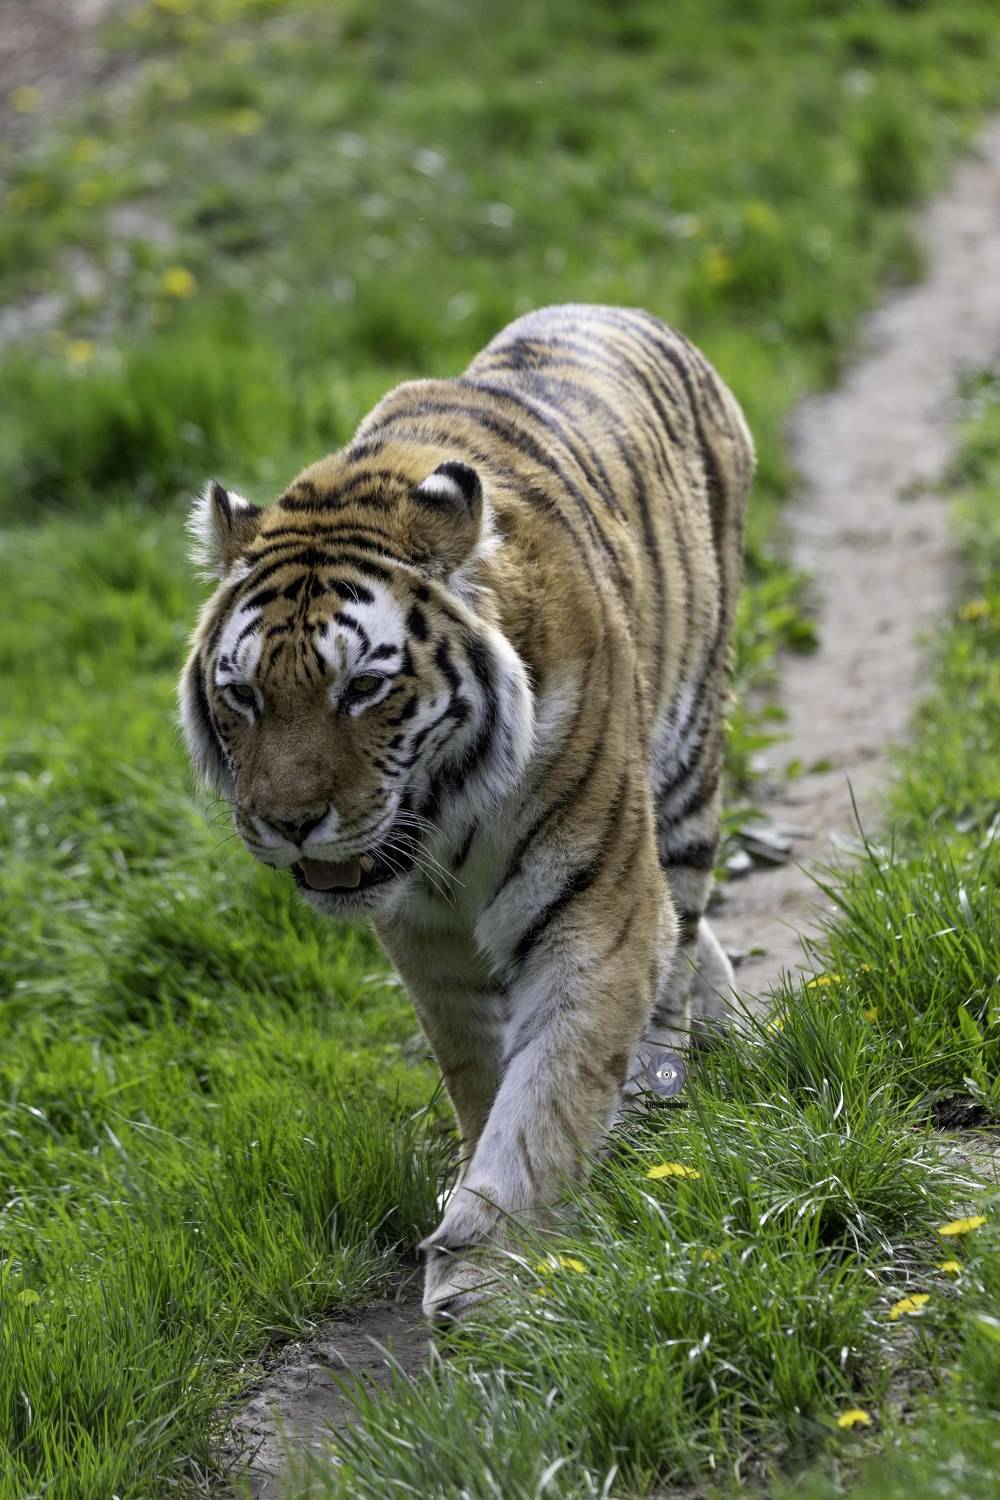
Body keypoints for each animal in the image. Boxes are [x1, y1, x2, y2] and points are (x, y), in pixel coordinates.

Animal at [179, 303, 754, 1320]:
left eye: (363, 688)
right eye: (242, 695)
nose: (288, 822)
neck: (445, 815)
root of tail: (618, 307)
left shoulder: (591, 906)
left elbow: (549, 1091)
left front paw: (487, 1278)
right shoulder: (424, 934)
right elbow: (481, 1073)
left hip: (688, 753)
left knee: (679, 920)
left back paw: (664, 1074)